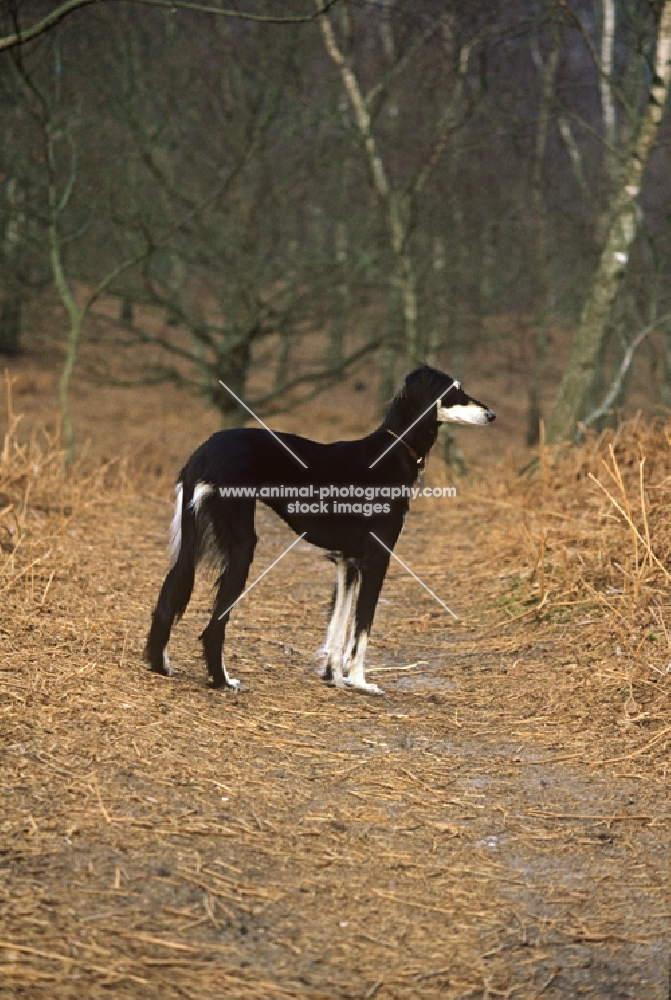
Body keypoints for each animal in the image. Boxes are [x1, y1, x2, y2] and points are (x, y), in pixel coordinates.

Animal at [146, 366, 494, 696]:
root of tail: (203, 451)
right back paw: (222, 681)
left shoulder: (346, 559)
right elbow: (363, 625)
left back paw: (159, 664)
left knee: (170, 594)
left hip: (192, 536)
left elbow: (339, 623)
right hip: (242, 544)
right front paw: (360, 681)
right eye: (454, 391)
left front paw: (334, 676)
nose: (492, 415)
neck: (393, 449)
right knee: (213, 626)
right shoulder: (377, 557)